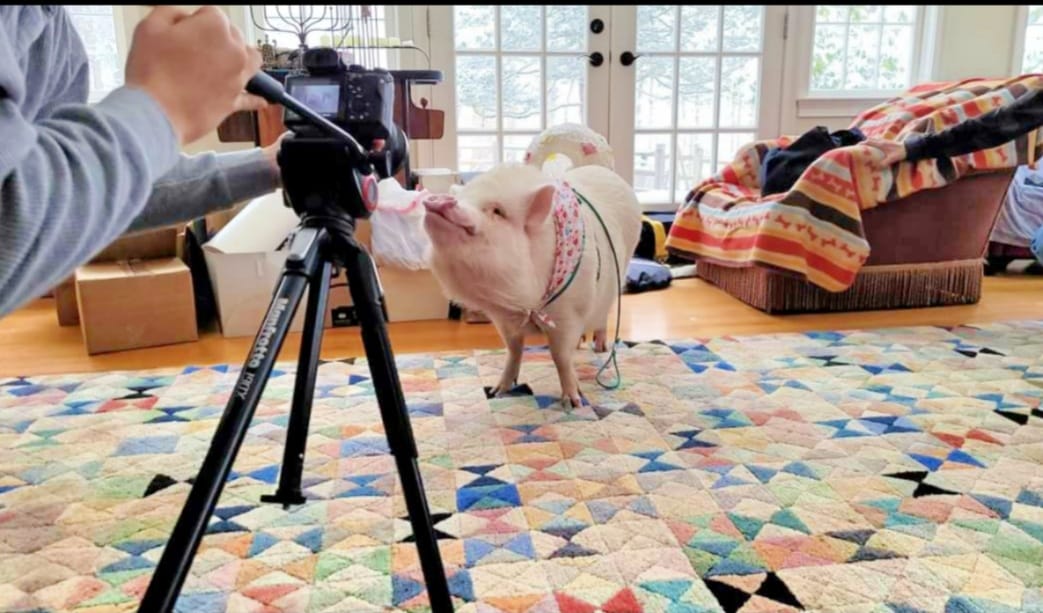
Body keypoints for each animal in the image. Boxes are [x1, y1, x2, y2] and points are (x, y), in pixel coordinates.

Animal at [421, 125, 642, 408]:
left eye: (497, 211)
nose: (439, 200)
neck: (524, 303)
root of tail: (600, 169)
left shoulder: (567, 314)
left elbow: (560, 356)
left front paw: (573, 403)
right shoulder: (503, 320)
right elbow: (514, 350)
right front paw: (498, 391)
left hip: (618, 276)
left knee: (604, 315)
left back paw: (599, 347)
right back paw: (582, 345)